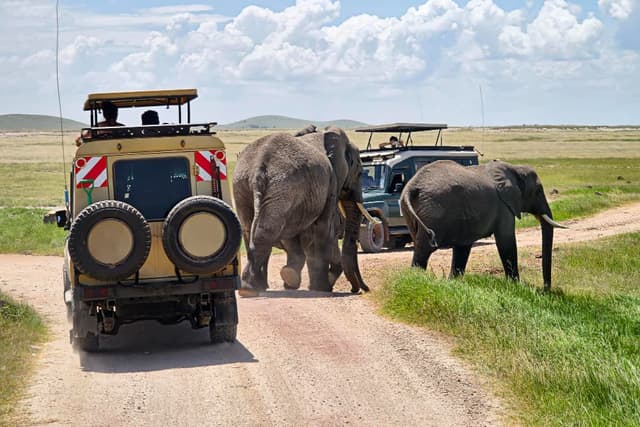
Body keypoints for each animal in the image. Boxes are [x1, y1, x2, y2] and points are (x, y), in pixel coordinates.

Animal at [233, 126, 369, 294]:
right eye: (360, 173)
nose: (359, 290)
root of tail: (259, 163)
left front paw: (292, 281)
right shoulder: (331, 183)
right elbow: (323, 227)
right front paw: (321, 288)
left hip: (242, 184)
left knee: (249, 227)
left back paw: (254, 287)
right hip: (284, 186)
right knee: (268, 229)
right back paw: (251, 289)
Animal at [400, 160, 567, 290]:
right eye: (538, 191)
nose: (546, 290)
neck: (514, 168)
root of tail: (411, 187)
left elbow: (462, 247)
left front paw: (453, 283)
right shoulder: (504, 206)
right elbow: (506, 241)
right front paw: (516, 286)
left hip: (412, 213)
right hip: (434, 210)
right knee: (424, 248)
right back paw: (417, 280)